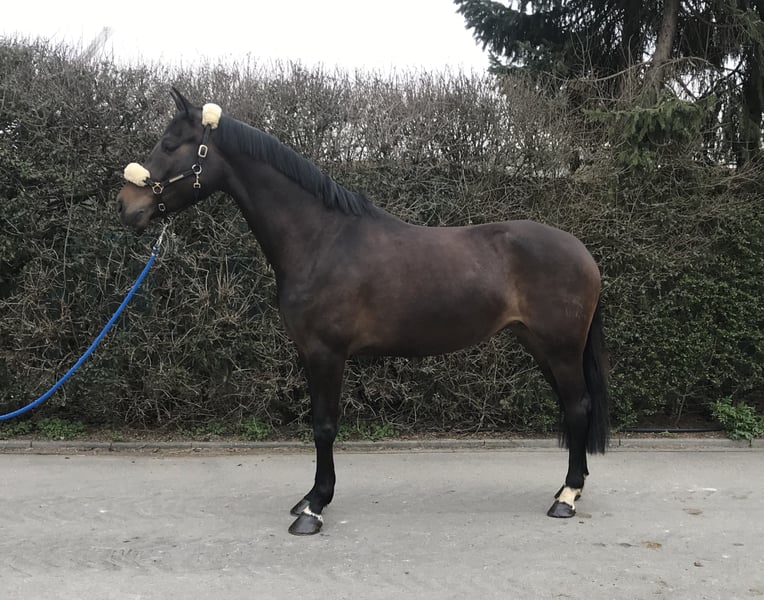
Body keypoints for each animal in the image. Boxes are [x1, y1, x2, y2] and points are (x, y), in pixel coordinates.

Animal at [116, 88, 610, 536]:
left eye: (169, 144)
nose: (126, 206)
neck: (320, 240)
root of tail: (582, 251)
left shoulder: (326, 354)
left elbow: (324, 426)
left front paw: (314, 508)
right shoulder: (310, 354)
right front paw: (309, 500)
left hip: (561, 348)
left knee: (577, 406)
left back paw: (566, 497)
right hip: (539, 345)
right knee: (573, 406)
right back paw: (572, 488)